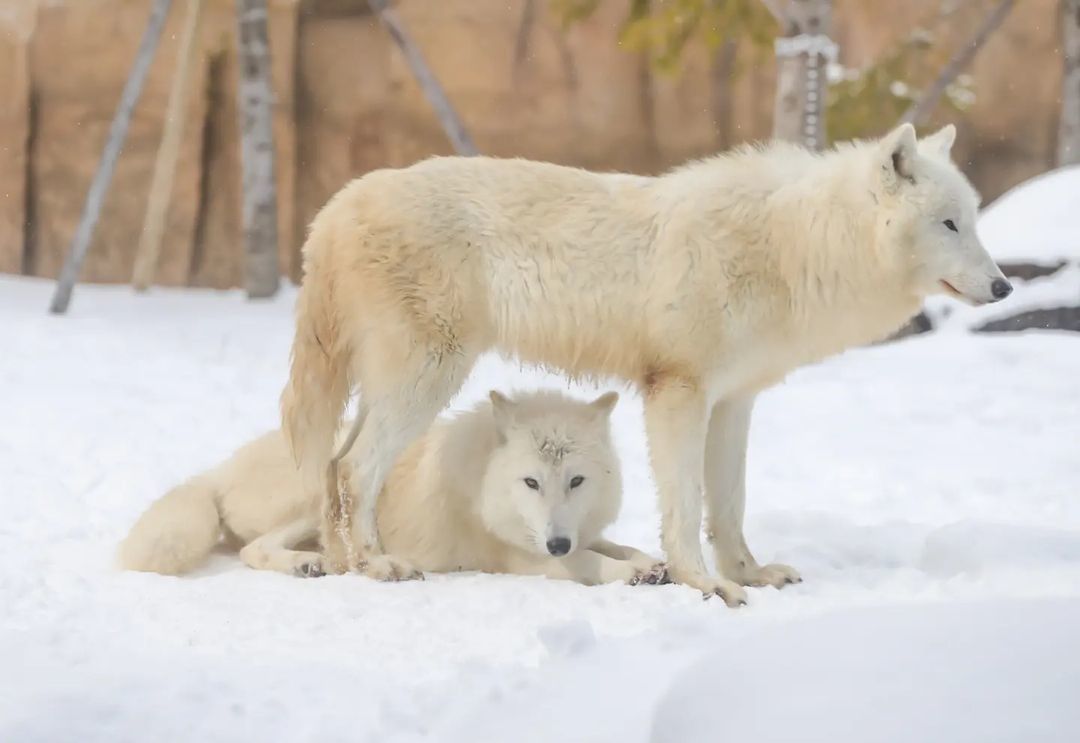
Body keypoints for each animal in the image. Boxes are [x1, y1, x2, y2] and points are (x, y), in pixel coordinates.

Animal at [116, 388, 665, 587]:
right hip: (320, 496)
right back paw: (307, 565)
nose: (556, 542)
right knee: (255, 549)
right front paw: (631, 574)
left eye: (576, 481)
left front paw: (653, 564)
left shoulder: (579, 532)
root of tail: (221, 468)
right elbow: (593, 563)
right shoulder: (522, 559)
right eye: (531, 482)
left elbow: (617, 545)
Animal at [280, 122, 1010, 604]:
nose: (1004, 286)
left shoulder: (733, 401)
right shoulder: (678, 390)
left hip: (395, 384)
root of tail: (334, 208)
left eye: (974, 221)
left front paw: (748, 574)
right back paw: (379, 566)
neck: (794, 246)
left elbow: (730, 505)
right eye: (949, 224)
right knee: (354, 467)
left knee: (333, 465)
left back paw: (343, 564)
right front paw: (704, 584)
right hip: (428, 376)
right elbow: (685, 505)